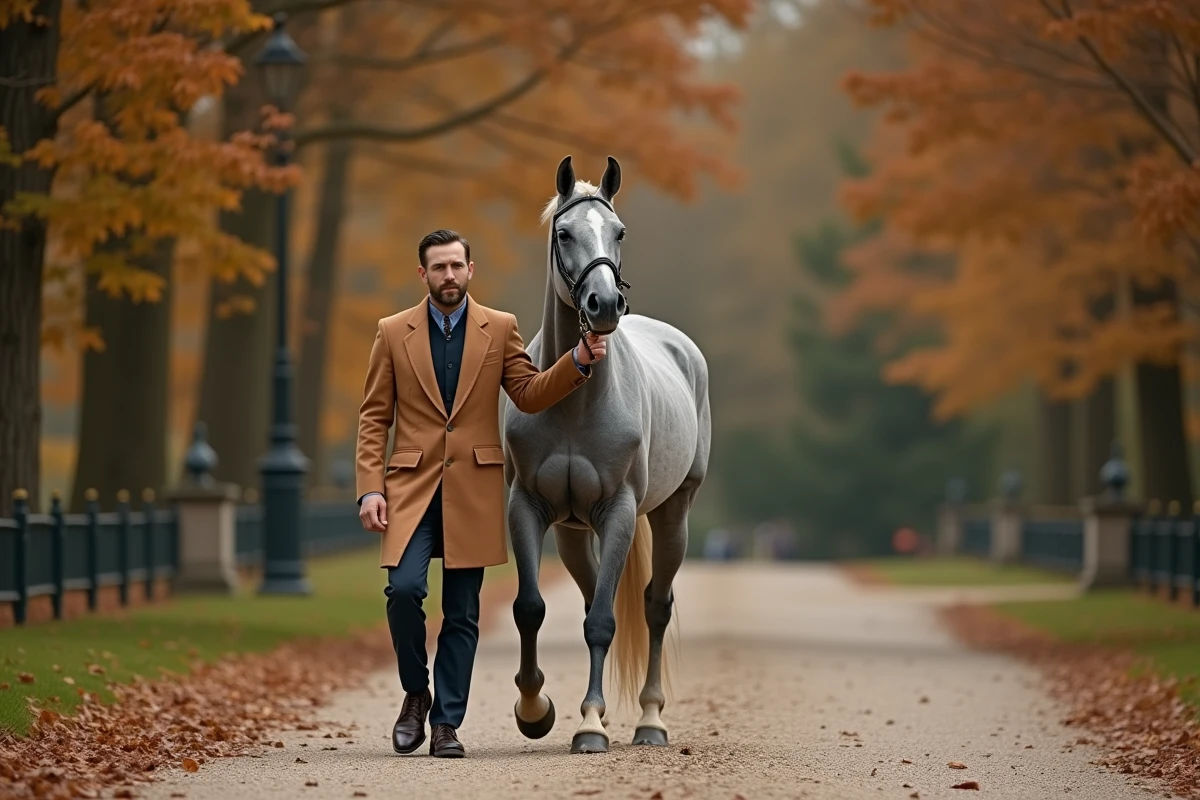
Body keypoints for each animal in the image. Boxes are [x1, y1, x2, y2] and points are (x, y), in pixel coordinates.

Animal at [501, 155, 712, 754]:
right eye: (564, 233)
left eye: (618, 232)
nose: (605, 304)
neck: (575, 401)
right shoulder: (526, 507)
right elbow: (531, 608)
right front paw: (535, 709)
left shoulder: (618, 510)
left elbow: (602, 621)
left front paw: (591, 726)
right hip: (574, 532)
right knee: (599, 594)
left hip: (672, 515)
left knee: (653, 607)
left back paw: (650, 720)